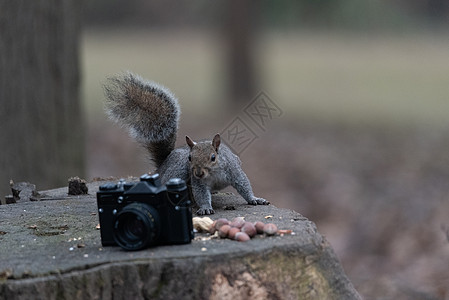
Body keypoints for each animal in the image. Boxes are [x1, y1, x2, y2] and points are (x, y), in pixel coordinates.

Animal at [103, 71, 268, 214]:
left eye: (213, 157)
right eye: (190, 158)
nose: (199, 173)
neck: (213, 174)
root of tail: (162, 166)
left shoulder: (233, 170)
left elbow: (243, 185)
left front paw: (255, 199)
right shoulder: (197, 181)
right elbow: (201, 193)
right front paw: (205, 207)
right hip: (178, 170)